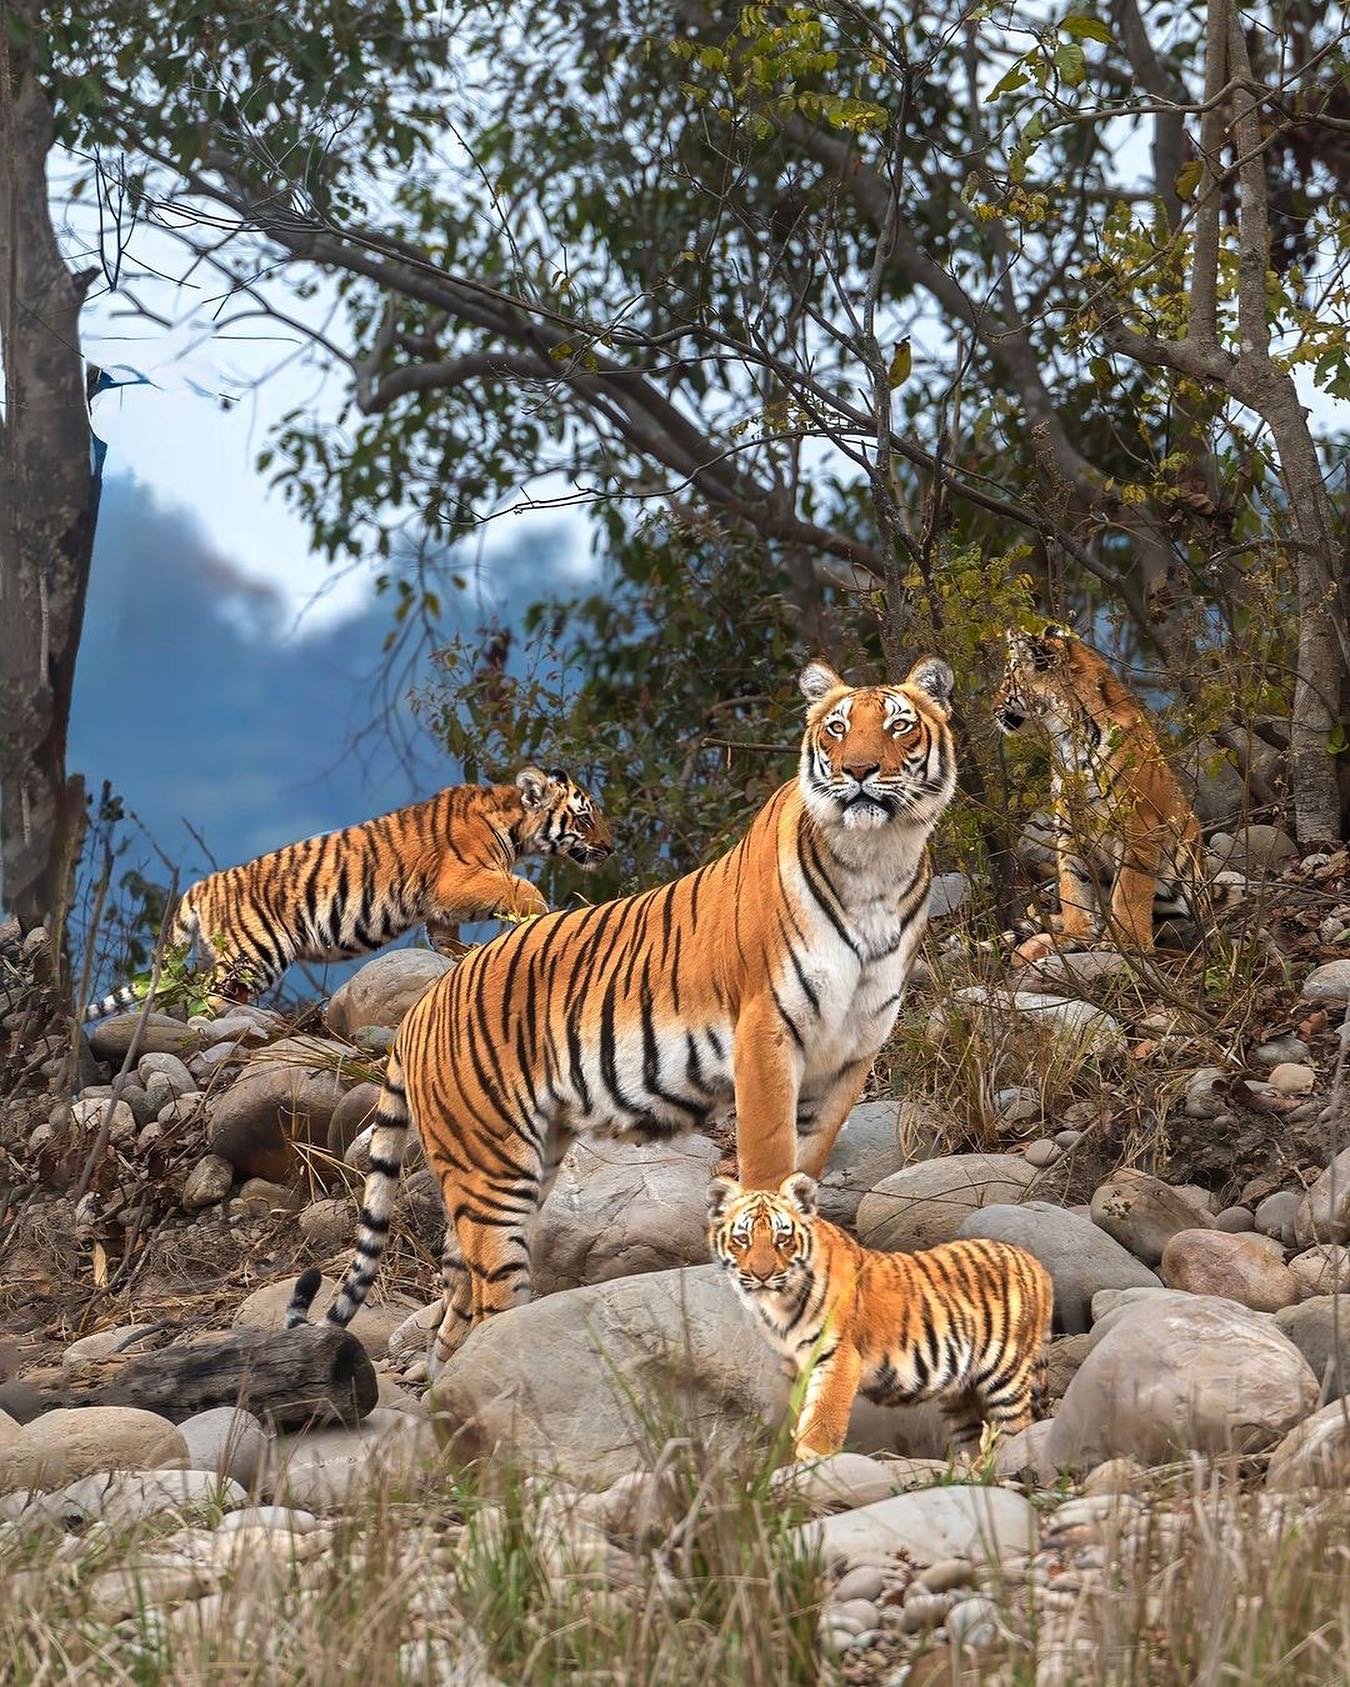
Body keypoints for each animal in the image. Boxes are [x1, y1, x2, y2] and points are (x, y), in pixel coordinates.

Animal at [84, 772, 610, 1018]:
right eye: (585, 817)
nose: (610, 847)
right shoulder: (460, 879)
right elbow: (519, 887)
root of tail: (202, 884)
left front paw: (463, 955)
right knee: (207, 1001)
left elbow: (445, 939)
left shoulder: (439, 906)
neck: (515, 826)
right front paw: (541, 913)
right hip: (255, 953)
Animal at [288, 651, 951, 1376]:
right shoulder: (767, 1035)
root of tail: (423, 1007)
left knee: (457, 1302)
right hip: (494, 1169)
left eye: (898, 725)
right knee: (493, 1299)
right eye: (836, 728)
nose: (859, 770)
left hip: (521, 1158)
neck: (876, 865)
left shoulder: (852, 1052)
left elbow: (810, 1157)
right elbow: (770, 1162)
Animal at [705, 1174, 1053, 1464]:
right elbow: (800, 1413)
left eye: (781, 1239)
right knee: (971, 1433)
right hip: (960, 1393)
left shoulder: (838, 1356)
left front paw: (811, 1461)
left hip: (1006, 1374)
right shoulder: (794, 1366)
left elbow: (823, 1416)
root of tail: (1036, 1265)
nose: (761, 1275)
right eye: (743, 1239)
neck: (778, 1305)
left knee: (1017, 1427)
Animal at [992, 624, 1201, 964]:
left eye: (1009, 678)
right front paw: (1075, 935)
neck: (1067, 738)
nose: (993, 709)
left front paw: (1128, 942)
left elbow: (1129, 891)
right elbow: (1073, 884)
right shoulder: (1069, 829)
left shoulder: (1137, 830)